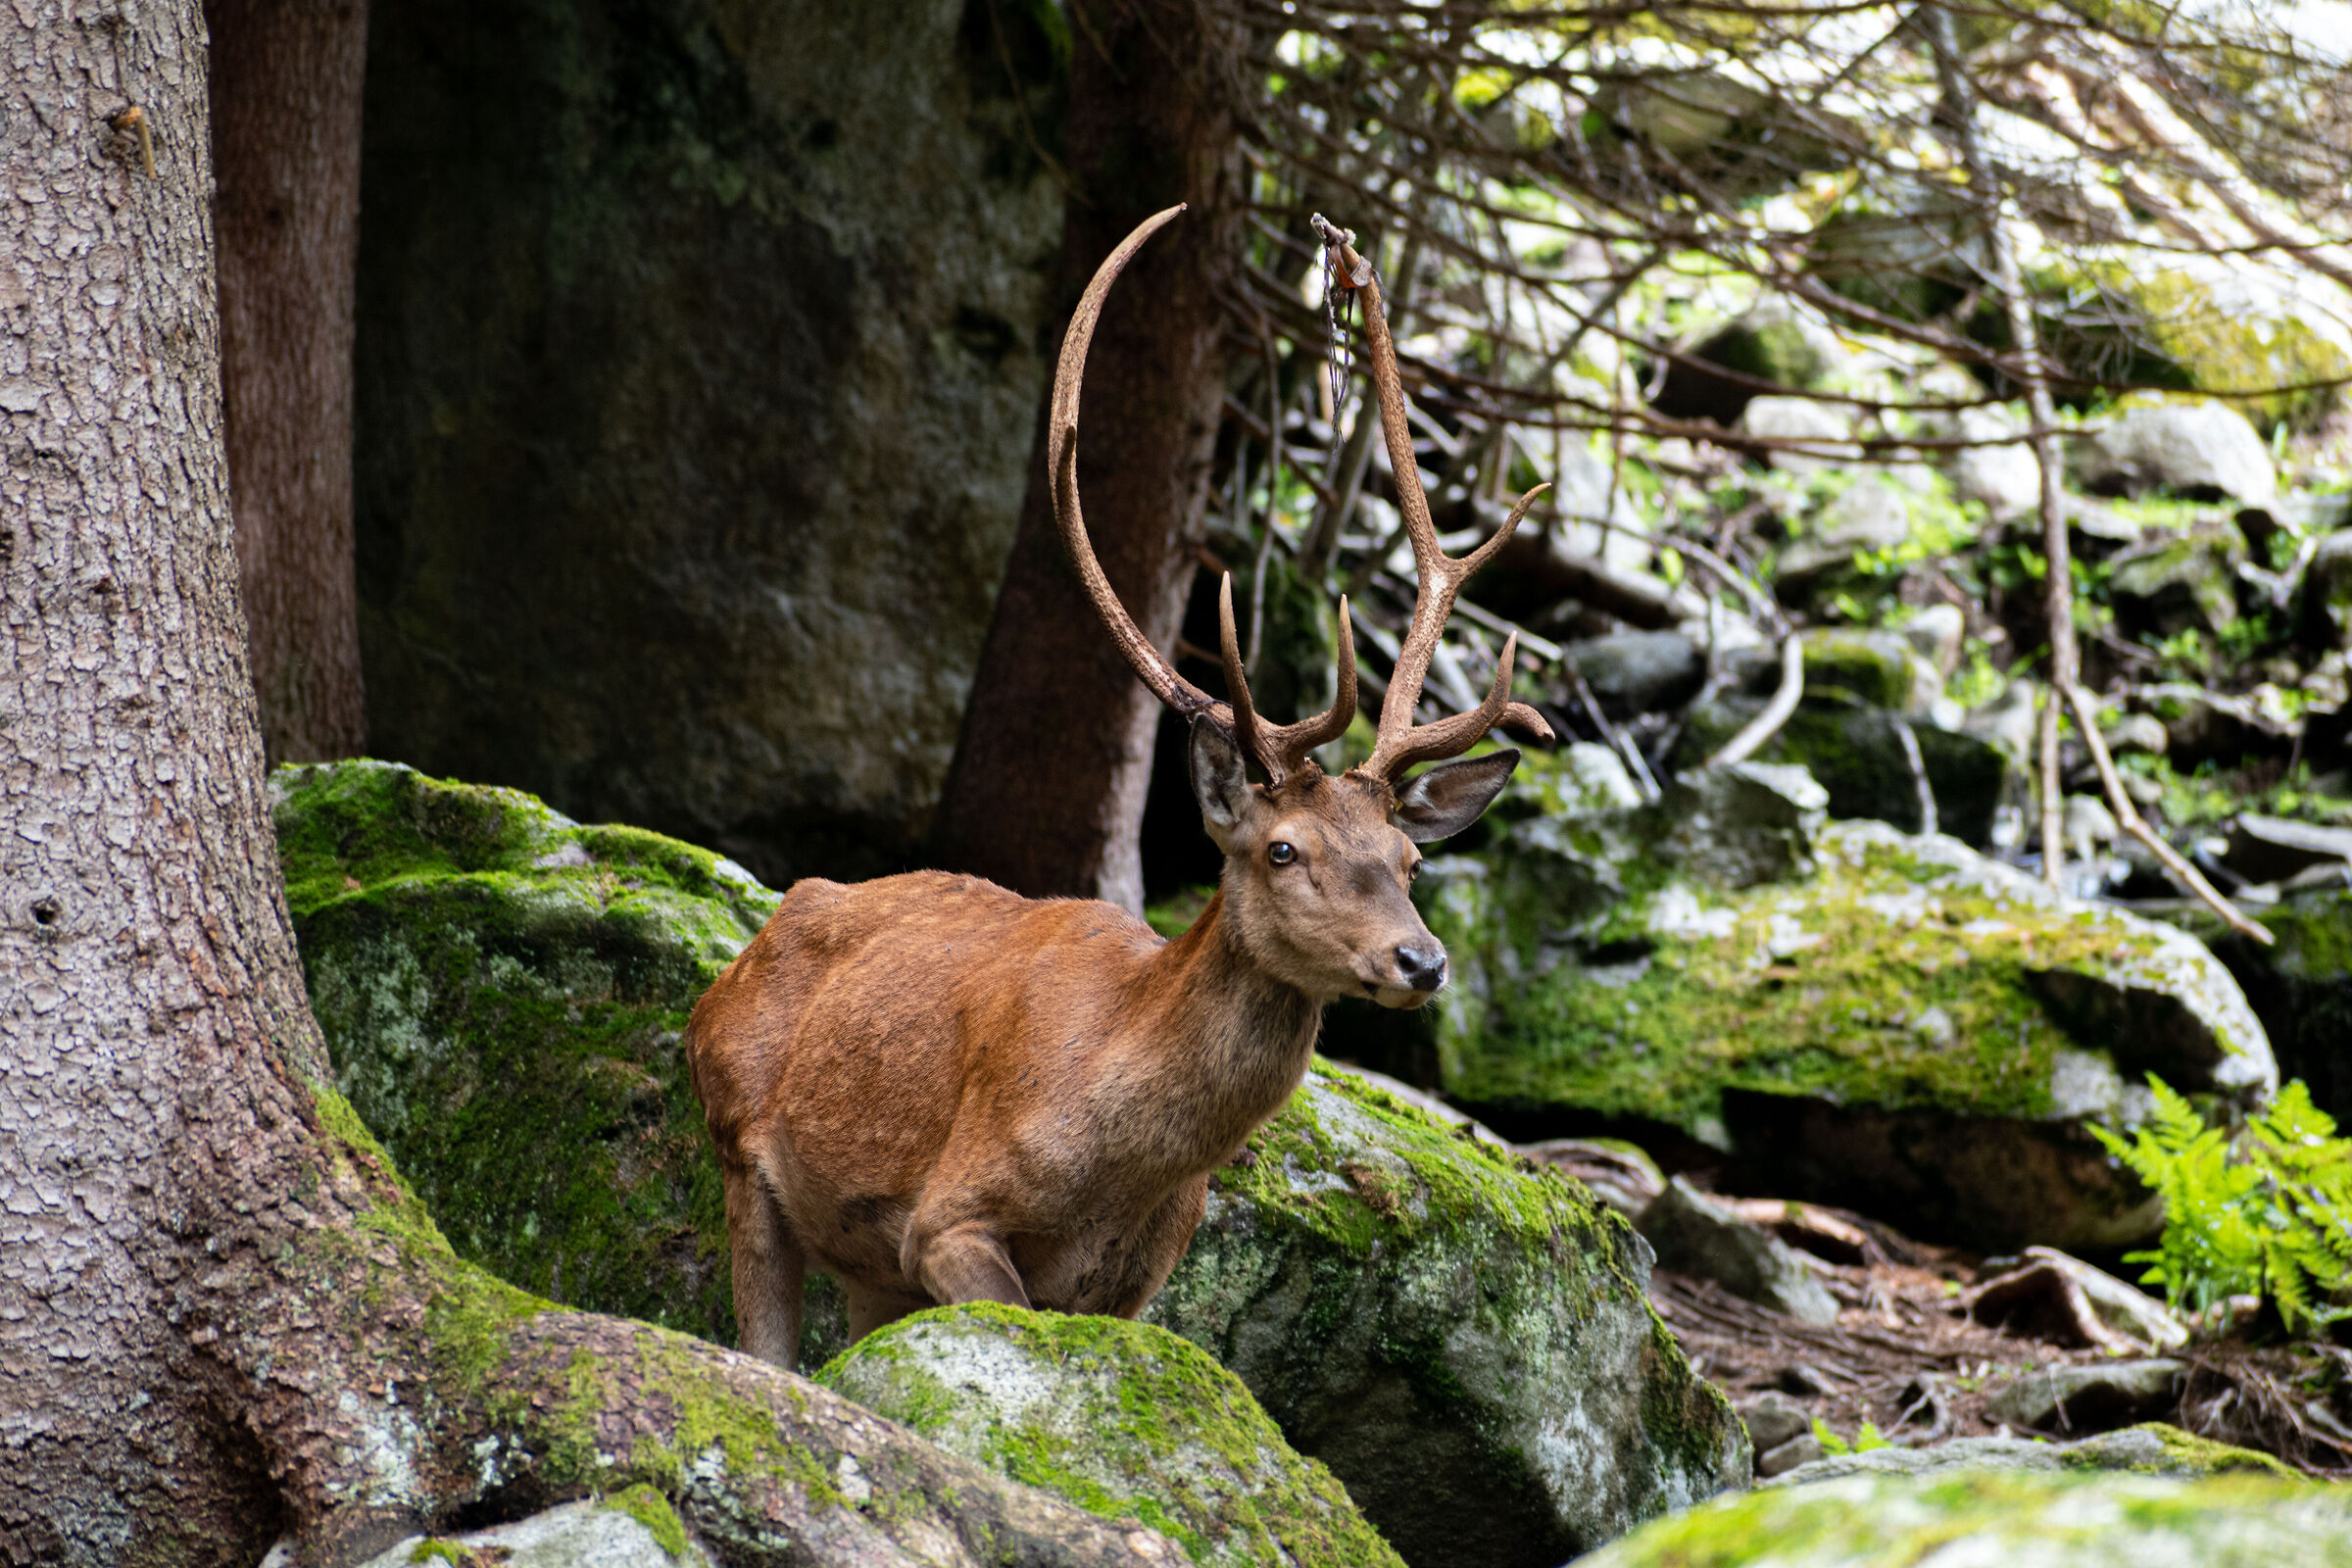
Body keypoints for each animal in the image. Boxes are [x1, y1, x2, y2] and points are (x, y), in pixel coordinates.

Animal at [685, 206, 1554, 1368]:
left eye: (1413, 860)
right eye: (1283, 849)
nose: (1421, 960)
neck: (1119, 1165)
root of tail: (740, 958)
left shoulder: (1140, 1281)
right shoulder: (945, 1216)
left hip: (864, 1265)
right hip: (741, 1143)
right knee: (767, 1343)